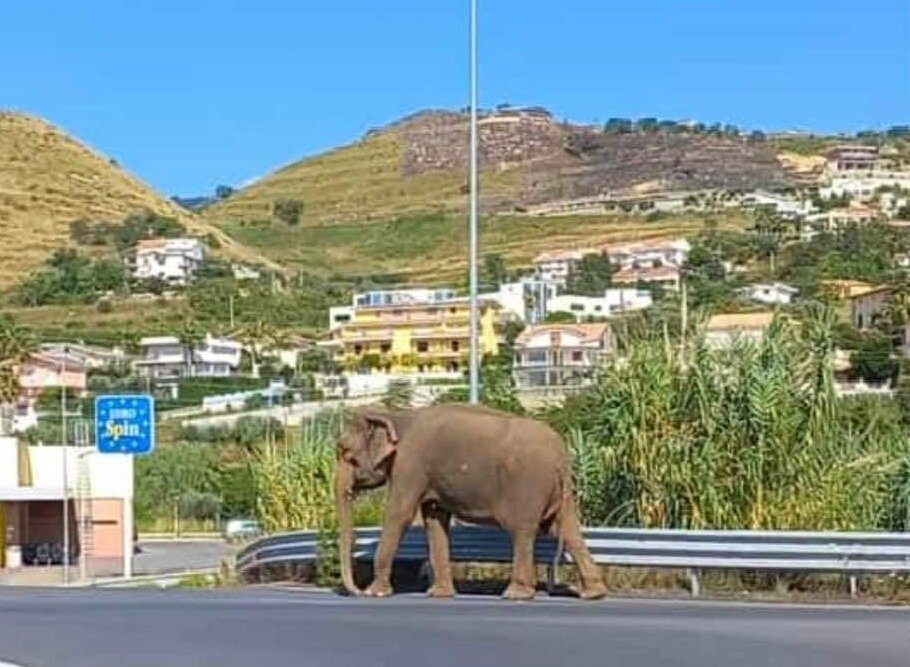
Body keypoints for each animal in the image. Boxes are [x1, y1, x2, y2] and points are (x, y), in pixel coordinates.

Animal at [334, 402, 607, 601]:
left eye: (345, 452)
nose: (356, 591)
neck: (396, 416)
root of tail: (560, 457)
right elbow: (434, 519)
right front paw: (439, 595)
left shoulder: (411, 464)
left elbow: (399, 513)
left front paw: (376, 593)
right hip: (562, 492)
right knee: (566, 529)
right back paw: (592, 594)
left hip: (527, 485)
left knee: (523, 530)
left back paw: (516, 595)